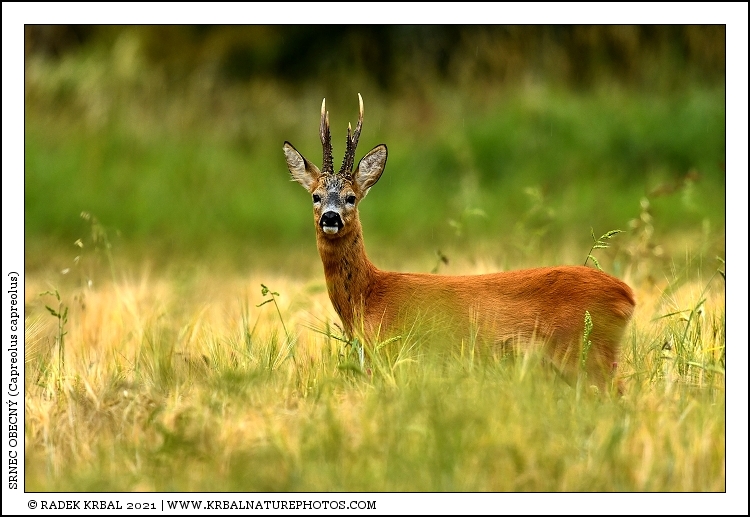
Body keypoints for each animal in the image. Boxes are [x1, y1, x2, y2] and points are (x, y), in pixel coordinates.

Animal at [283, 94, 636, 391]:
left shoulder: (393, 355)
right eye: (315, 196)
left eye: (351, 197)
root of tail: (627, 295)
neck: (369, 297)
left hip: (585, 353)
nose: (330, 217)